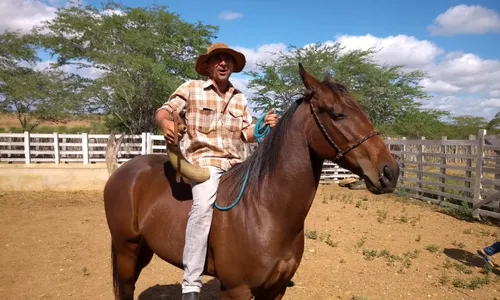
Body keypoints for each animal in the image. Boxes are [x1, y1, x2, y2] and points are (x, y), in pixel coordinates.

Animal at [103, 62, 400, 298]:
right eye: (337, 113)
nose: (390, 172)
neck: (266, 211)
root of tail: (125, 169)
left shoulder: (274, 290)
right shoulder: (237, 290)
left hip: (143, 249)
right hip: (127, 249)